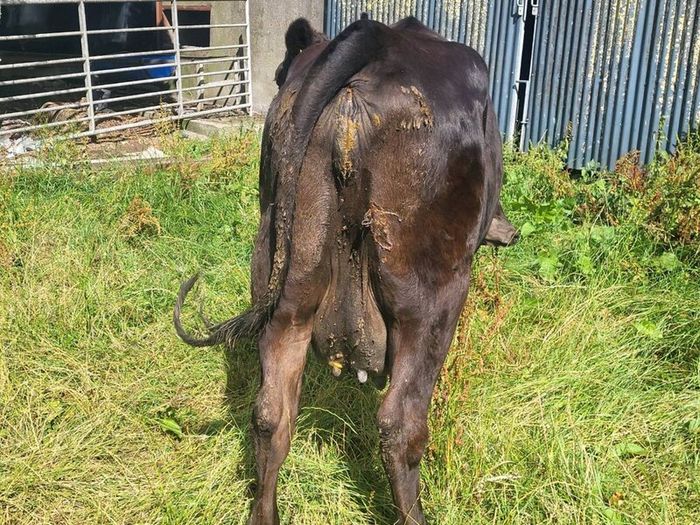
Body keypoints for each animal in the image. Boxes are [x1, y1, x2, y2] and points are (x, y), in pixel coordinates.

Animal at [174, 15, 517, 525]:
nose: (507, 230)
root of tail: (375, 36)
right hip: (432, 294)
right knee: (400, 425)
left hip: (285, 279)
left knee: (270, 413)